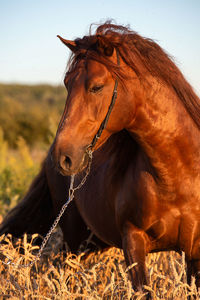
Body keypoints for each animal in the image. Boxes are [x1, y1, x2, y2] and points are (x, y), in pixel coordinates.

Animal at [51, 21, 200, 292]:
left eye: (97, 87)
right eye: (67, 84)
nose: (63, 157)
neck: (179, 175)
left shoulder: (194, 251)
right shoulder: (133, 243)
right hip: (73, 241)